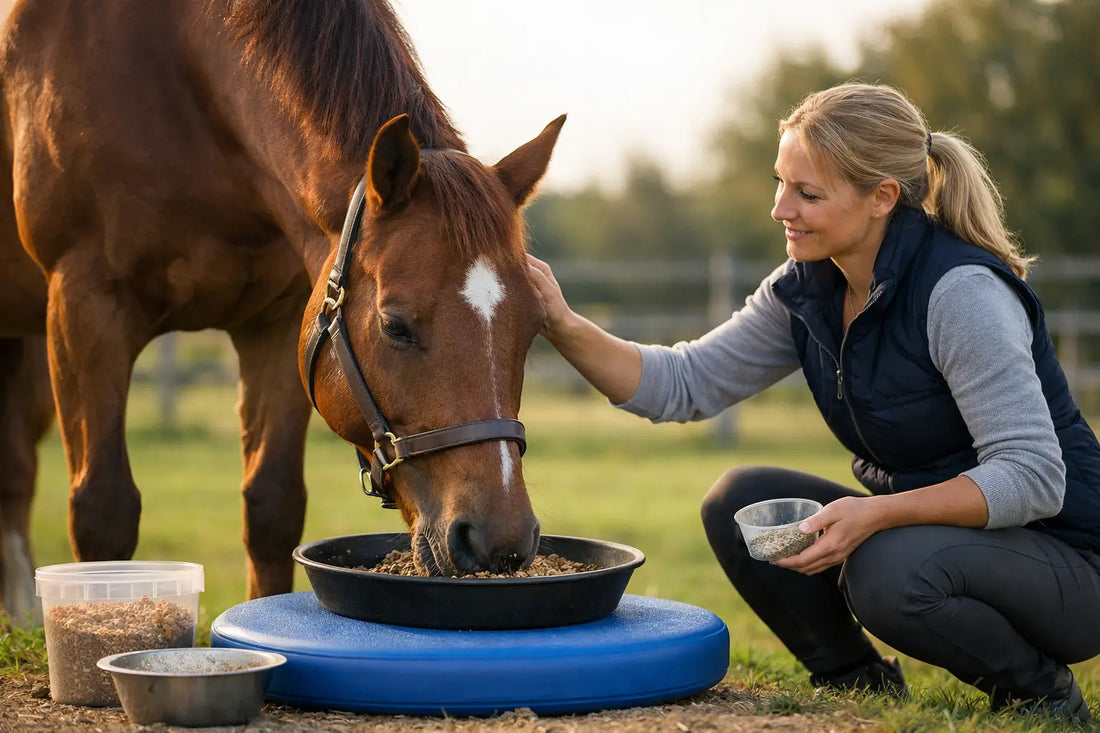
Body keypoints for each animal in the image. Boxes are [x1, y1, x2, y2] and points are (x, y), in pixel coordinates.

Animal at [0, 0, 563, 624]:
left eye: (532, 328)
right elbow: (102, 513)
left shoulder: (276, 325)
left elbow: (271, 508)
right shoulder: (86, 305)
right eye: (395, 325)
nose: (500, 541)